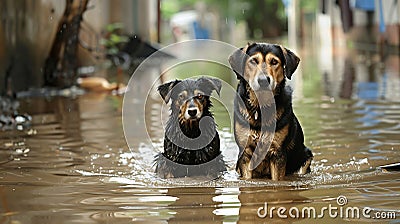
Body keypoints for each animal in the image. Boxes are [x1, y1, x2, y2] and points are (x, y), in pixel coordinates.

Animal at [228, 43, 312, 181]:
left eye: (274, 62)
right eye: (253, 61)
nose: (263, 80)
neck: (260, 107)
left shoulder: (277, 153)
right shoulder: (245, 154)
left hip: (306, 156)